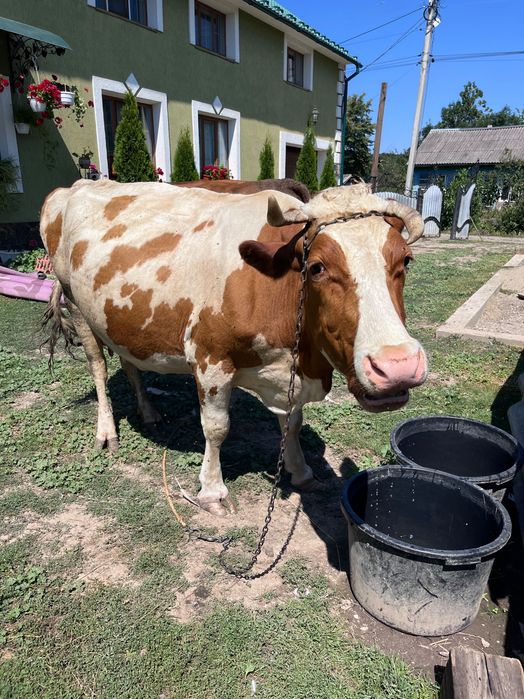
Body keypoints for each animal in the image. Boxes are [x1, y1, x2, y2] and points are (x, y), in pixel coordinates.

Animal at [41, 179, 427, 515]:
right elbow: (216, 428)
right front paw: (212, 491)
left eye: (406, 260)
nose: (398, 366)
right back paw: (106, 432)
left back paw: (149, 413)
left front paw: (301, 471)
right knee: (98, 366)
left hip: (118, 318)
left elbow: (292, 423)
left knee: (130, 363)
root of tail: (75, 186)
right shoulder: (210, 359)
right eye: (317, 267)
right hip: (77, 305)